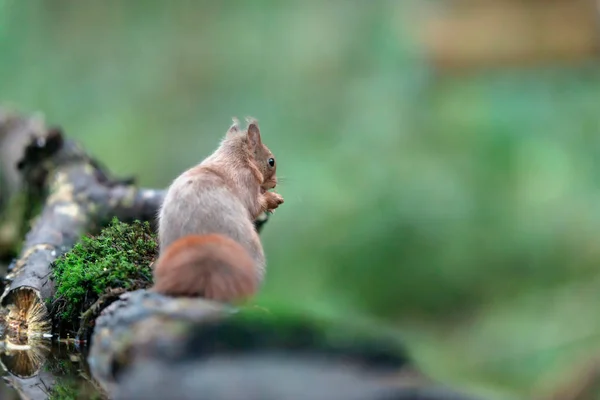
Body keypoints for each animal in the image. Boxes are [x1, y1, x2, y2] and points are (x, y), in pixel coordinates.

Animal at [155, 119, 286, 304]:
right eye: (271, 161)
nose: (274, 184)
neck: (237, 158)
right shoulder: (246, 181)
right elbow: (255, 206)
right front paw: (273, 199)